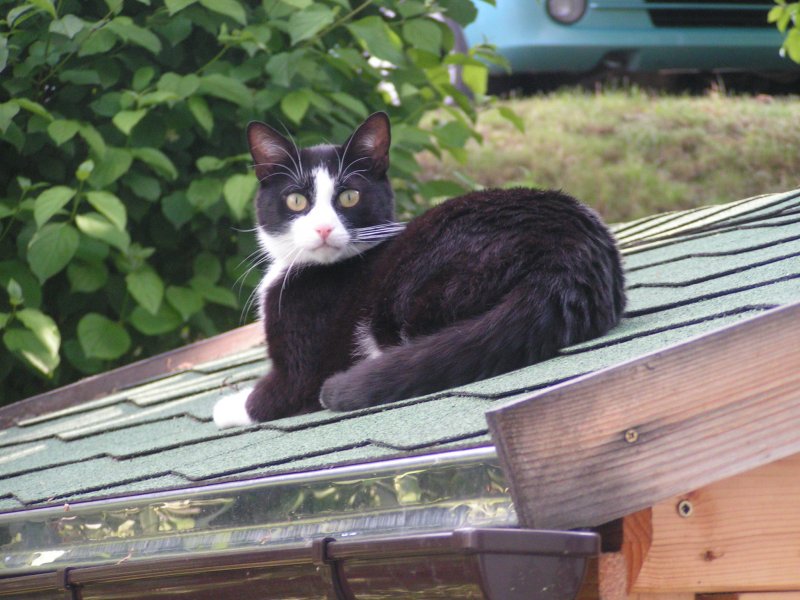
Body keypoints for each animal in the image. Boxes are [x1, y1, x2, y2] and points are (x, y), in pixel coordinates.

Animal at [212, 112, 624, 428]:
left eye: (349, 196)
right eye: (296, 200)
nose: (324, 229)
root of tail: (568, 253)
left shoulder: (301, 369)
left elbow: (266, 398)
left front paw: (227, 404)